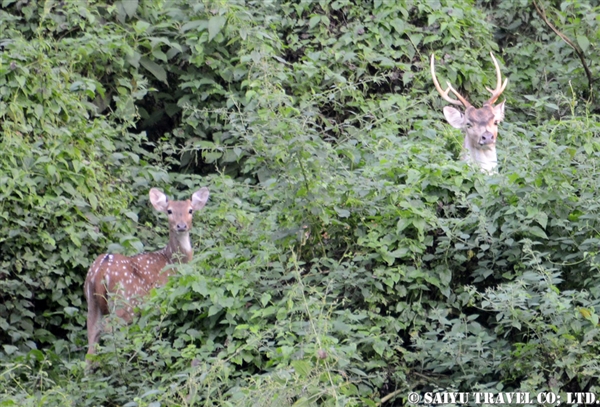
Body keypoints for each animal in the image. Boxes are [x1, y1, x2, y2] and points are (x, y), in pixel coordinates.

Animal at [84, 186, 210, 362]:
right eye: (169, 211)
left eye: (190, 210)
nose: (181, 226)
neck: (172, 259)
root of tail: (100, 270)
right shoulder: (162, 299)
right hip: (124, 303)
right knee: (110, 329)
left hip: (92, 302)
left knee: (91, 337)